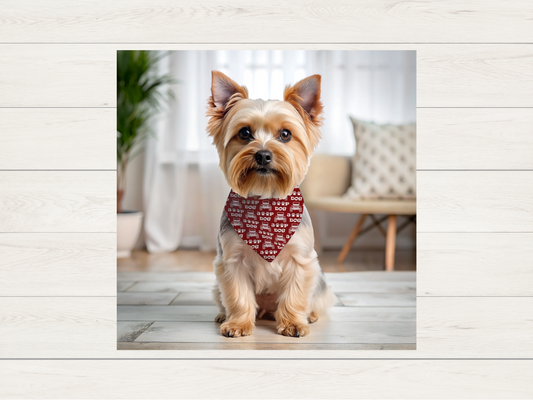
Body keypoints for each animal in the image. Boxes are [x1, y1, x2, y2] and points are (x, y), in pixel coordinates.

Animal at [206, 70, 334, 336]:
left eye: (285, 134)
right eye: (244, 133)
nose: (263, 155)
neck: (265, 200)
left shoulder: (301, 260)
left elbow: (295, 294)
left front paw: (294, 323)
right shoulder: (232, 260)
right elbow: (238, 295)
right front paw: (238, 324)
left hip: (319, 279)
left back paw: (310, 316)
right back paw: (224, 314)